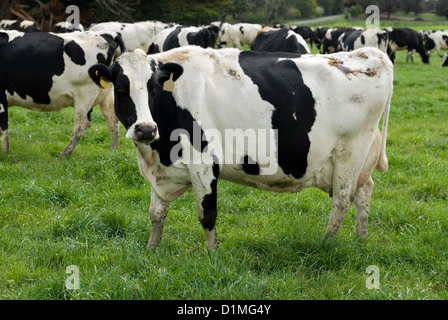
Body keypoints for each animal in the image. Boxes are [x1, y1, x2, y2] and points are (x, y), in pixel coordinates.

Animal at [1, 29, 126, 157]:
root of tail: (107, 34)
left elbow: (3, 128)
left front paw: (5, 154)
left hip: (85, 95)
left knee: (81, 125)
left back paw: (64, 154)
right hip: (107, 95)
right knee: (112, 121)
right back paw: (113, 152)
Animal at [89, 45, 394, 250]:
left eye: (153, 86)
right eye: (120, 88)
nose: (146, 129)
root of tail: (369, 54)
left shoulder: (203, 163)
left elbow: (207, 215)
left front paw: (212, 256)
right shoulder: (162, 169)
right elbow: (156, 214)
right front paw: (152, 250)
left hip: (350, 152)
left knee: (342, 200)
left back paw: (326, 243)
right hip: (359, 160)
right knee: (364, 191)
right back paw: (360, 240)